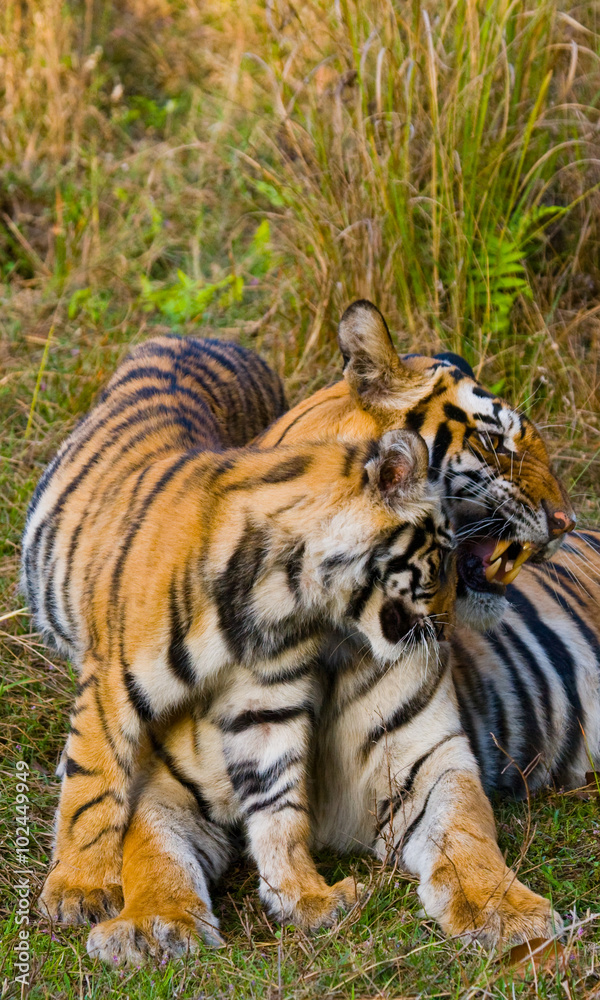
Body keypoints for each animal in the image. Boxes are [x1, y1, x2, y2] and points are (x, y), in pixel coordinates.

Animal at [28, 303, 582, 963]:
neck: (323, 627)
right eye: (494, 441)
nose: (567, 521)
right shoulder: (154, 759)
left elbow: (466, 835)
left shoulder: (425, 761)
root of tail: (196, 335)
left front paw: (507, 913)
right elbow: (124, 818)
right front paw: (135, 914)